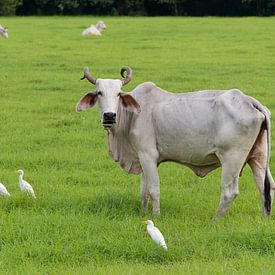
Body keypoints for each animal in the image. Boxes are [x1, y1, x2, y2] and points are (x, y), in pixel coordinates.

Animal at [76, 66, 275, 218]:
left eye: (118, 94)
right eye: (99, 93)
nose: (109, 116)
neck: (132, 115)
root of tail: (249, 100)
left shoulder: (148, 155)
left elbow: (153, 189)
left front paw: (155, 216)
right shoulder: (142, 157)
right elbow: (143, 190)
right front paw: (143, 213)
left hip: (232, 159)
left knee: (229, 192)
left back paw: (215, 219)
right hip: (258, 157)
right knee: (266, 187)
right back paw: (264, 218)